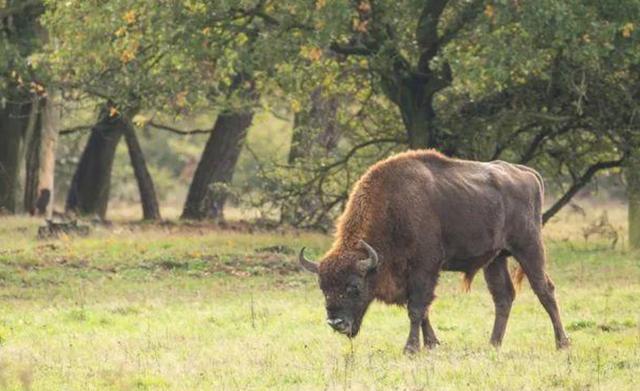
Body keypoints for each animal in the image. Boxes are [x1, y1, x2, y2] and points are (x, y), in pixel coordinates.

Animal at [300, 150, 568, 356]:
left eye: (354, 287)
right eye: (323, 288)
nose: (336, 323)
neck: (393, 208)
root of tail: (527, 173)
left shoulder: (424, 269)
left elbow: (417, 308)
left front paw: (410, 349)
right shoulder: (413, 277)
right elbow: (423, 310)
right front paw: (431, 344)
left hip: (529, 248)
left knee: (545, 290)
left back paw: (562, 343)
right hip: (496, 258)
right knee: (503, 296)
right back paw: (493, 344)